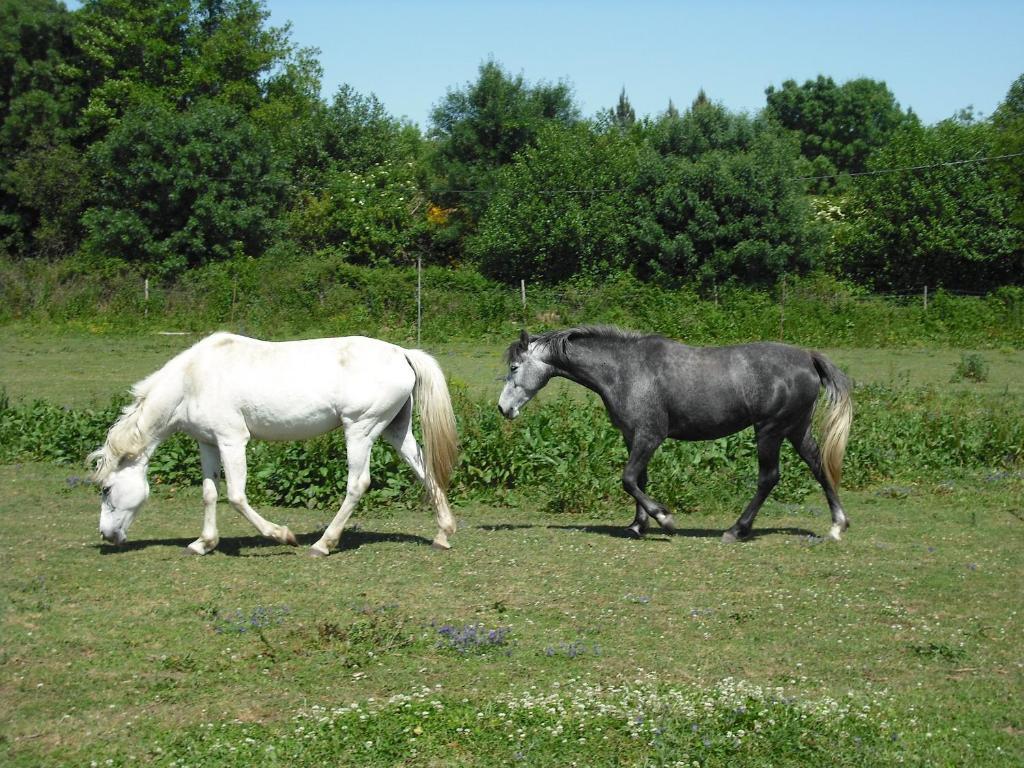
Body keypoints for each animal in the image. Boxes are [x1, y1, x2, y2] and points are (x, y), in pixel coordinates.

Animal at [90, 333, 458, 557]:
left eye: (106, 489)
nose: (106, 535)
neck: (192, 379)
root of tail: (403, 354)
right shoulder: (208, 443)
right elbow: (209, 493)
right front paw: (203, 543)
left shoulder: (232, 440)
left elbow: (236, 496)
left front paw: (282, 535)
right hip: (396, 431)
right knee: (424, 471)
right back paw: (443, 534)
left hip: (360, 430)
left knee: (358, 484)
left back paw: (323, 544)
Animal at [499, 327, 851, 544]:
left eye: (515, 367)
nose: (503, 408)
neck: (625, 370)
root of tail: (807, 357)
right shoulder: (632, 436)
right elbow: (639, 480)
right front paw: (637, 525)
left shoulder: (650, 436)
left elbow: (628, 479)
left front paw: (664, 519)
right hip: (796, 429)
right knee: (819, 466)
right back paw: (837, 526)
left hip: (770, 431)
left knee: (769, 478)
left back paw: (737, 530)